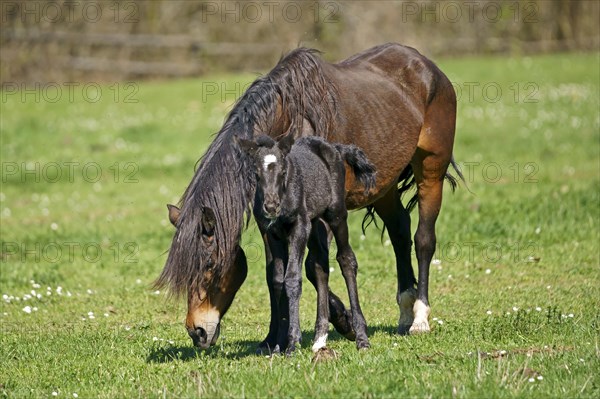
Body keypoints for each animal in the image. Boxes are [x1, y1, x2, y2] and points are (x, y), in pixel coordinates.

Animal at [238, 135, 376, 356]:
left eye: (283, 172)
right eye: (256, 174)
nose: (271, 206)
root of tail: (335, 148)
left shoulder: (299, 227)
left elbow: (293, 278)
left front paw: (293, 343)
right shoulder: (273, 233)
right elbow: (278, 280)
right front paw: (278, 345)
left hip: (336, 214)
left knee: (347, 259)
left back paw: (361, 338)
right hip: (315, 222)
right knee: (320, 266)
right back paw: (319, 339)